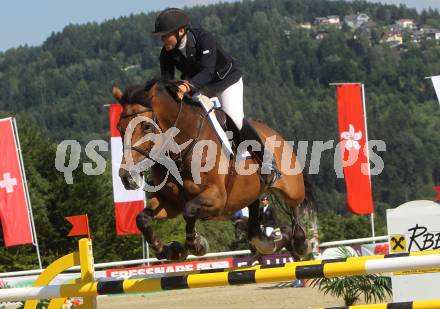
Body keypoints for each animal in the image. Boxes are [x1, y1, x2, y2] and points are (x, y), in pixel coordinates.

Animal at [111, 79, 310, 260]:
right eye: (119, 128)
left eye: (146, 126)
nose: (127, 177)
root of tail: (272, 131)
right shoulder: (170, 203)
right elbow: (143, 219)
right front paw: (167, 250)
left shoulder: (216, 198)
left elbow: (189, 210)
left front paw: (196, 245)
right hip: (251, 191)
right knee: (254, 209)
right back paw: (264, 241)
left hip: (291, 188)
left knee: (296, 205)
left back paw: (300, 242)